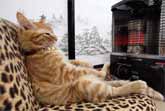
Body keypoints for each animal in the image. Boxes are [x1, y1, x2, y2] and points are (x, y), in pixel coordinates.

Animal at [15, 12, 164, 105]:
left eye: (52, 30)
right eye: (47, 34)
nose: (56, 38)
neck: (41, 50)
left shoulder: (68, 62)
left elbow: (76, 61)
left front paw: (86, 62)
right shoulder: (66, 72)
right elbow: (88, 70)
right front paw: (96, 67)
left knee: (114, 83)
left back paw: (126, 80)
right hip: (87, 84)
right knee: (113, 90)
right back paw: (135, 83)